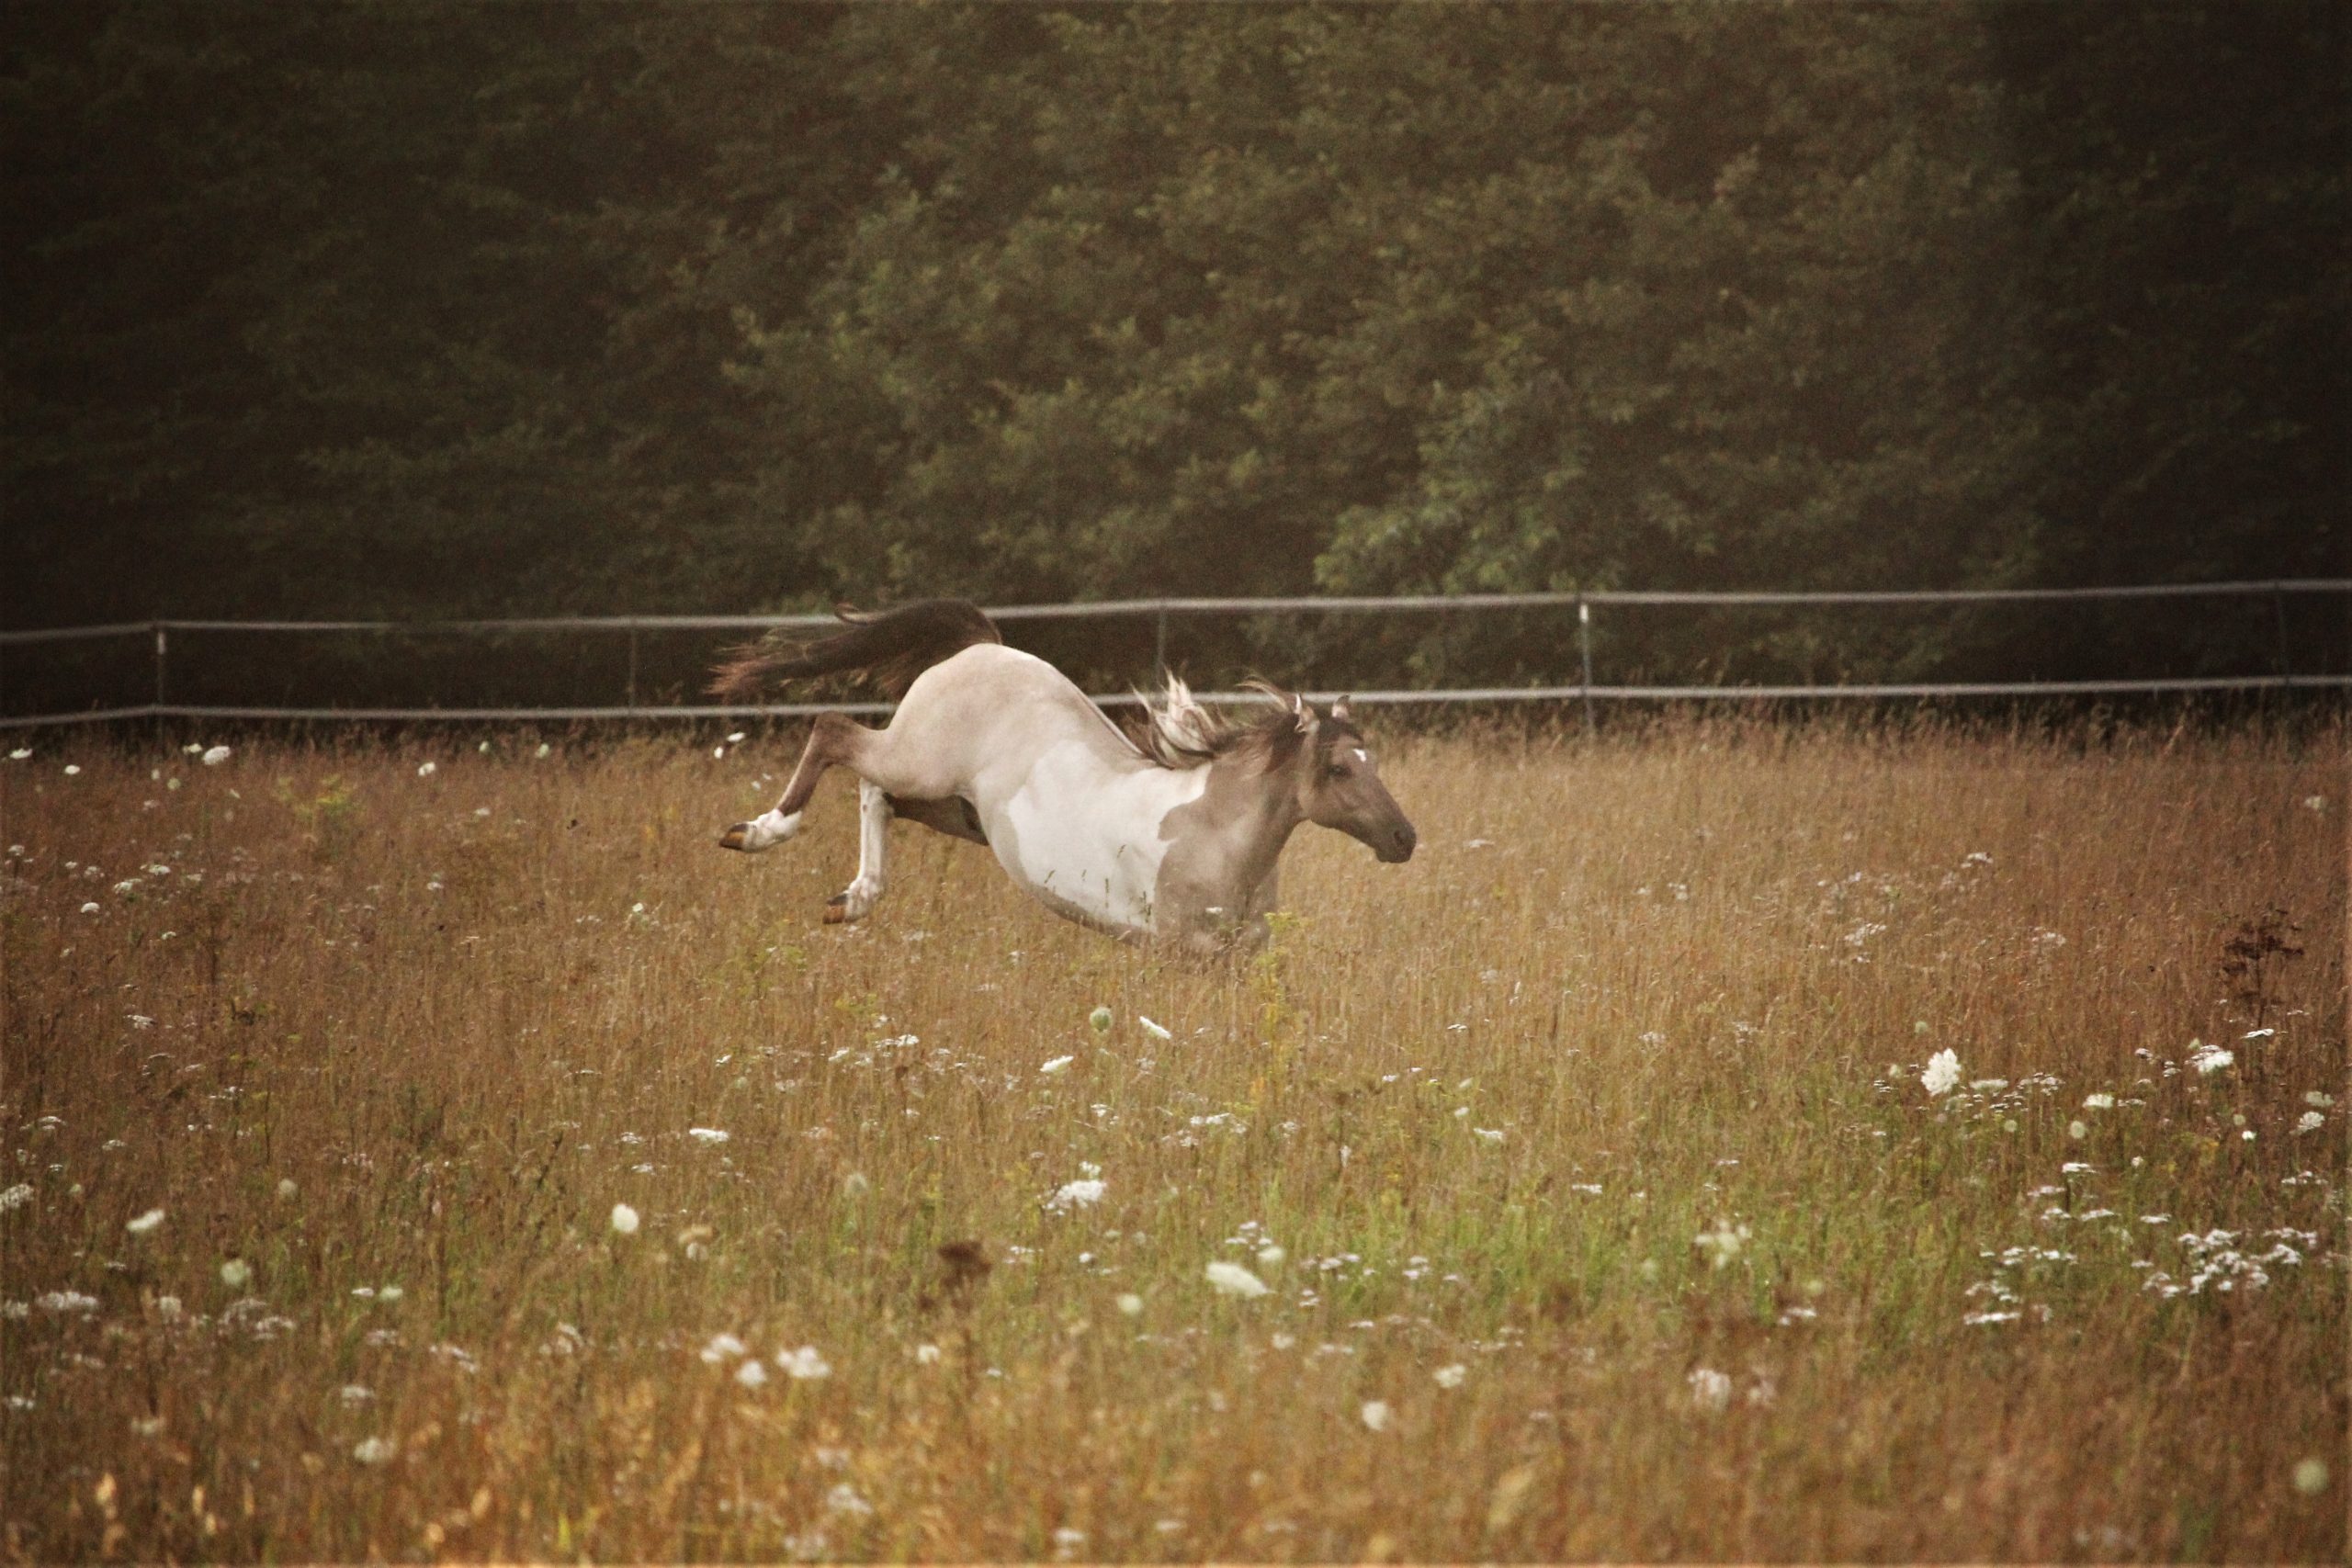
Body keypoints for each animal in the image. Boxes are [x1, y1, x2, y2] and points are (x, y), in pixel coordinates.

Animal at [706, 597, 1411, 949]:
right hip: (917, 758)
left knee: (876, 794)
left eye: (1372, 761)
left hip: (957, 809)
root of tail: (979, 647)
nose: (1406, 838)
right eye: (1341, 768)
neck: (1218, 836)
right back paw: (758, 832)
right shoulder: (1179, 953)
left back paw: (852, 899)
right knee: (835, 734)